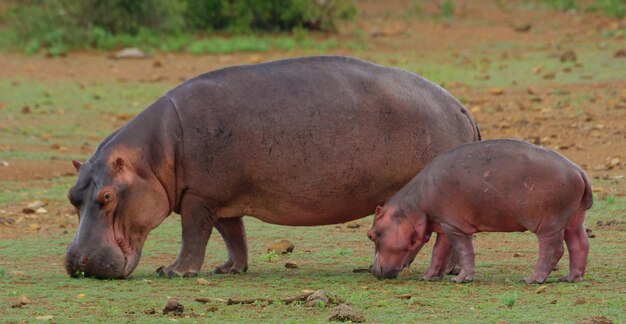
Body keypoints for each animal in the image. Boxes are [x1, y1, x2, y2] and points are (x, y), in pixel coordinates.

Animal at [64, 56, 478, 278]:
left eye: (106, 196)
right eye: (72, 196)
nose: (76, 261)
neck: (152, 156)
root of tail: (460, 106)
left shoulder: (199, 198)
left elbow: (193, 236)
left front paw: (173, 271)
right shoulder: (221, 199)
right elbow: (234, 235)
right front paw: (229, 269)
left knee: (446, 235)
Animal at [368, 139, 592, 284]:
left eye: (371, 234)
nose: (372, 270)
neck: (414, 204)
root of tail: (578, 170)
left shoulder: (455, 227)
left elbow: (464, 251)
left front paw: (460, 279)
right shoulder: (444, 224)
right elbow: (439, 252)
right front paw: (429, 277)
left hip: (549, 224)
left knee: (553, 249)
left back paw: (532, 279)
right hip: (574, 218)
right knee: (580, 243)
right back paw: (570, 278)